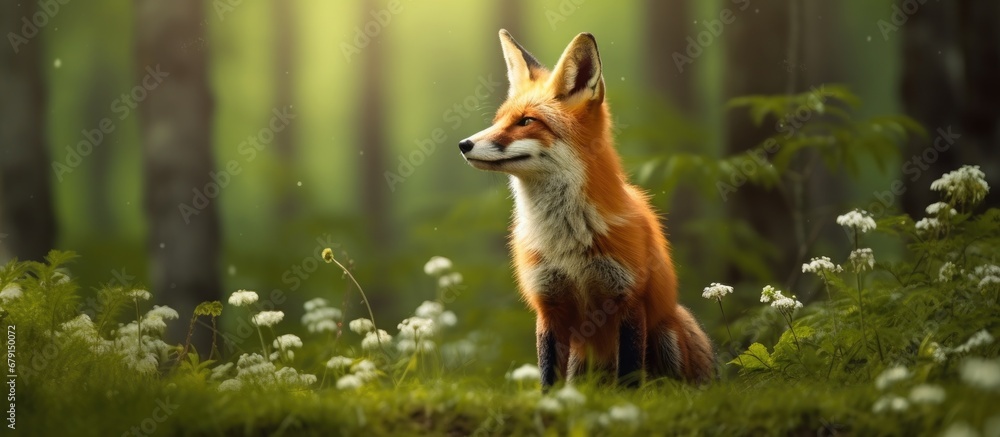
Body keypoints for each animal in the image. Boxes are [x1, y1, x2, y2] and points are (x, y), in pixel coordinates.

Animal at [458, 30, 715, 388]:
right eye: (498, 121)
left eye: (526, 121)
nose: (463, 144)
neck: (567, 241)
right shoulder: (549, 305)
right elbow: (548, 377)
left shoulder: (628, 299)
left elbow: (629, 374)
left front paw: (628, 401)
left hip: (668, 328)